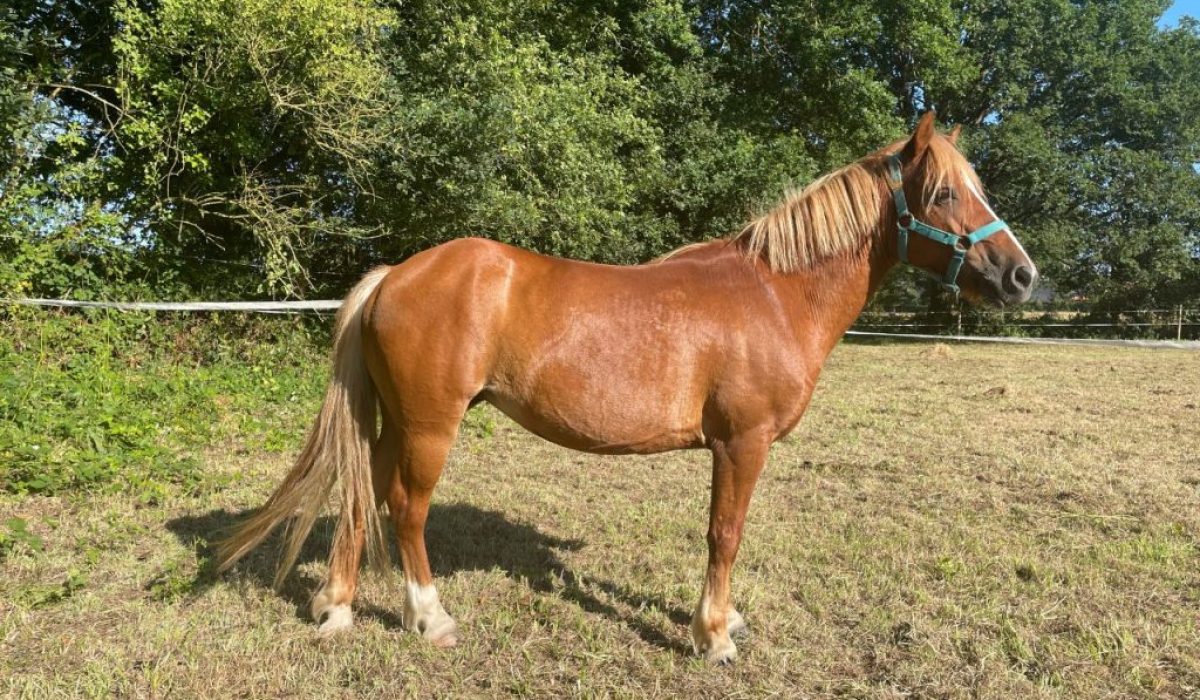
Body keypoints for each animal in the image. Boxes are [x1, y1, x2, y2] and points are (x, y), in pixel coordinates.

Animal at [216, 112, 1037, 664]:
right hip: (429, 426)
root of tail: (396, 275)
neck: (774, 293)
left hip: (394, 422)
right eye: (943, 194)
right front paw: (713, 635)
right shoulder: (740, 444)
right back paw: (431, 618)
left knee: (361, 496)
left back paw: (336, 608)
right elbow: (725, 534)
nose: (1021, 275)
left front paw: (724, 622)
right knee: (405, 509)